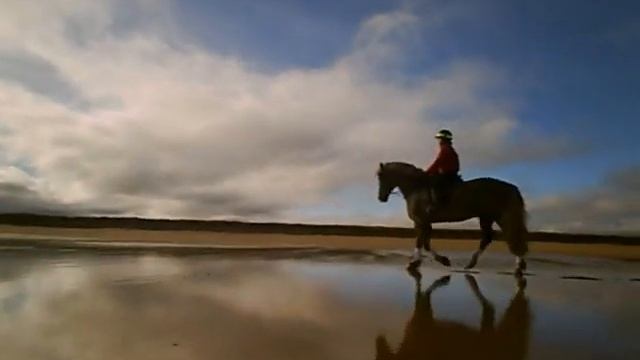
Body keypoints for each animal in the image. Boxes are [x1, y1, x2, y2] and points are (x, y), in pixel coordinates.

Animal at [376, 162, 528, 274]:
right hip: (486, 217)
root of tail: (511, 187)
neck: (416, 188)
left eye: (381, 176)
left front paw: (415, 263)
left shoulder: (421, 221)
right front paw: (439, 260)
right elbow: (425, 243)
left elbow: (421, 242)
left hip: (498, 216)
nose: (381, 198)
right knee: (491, 238)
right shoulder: (424, 223)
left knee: (510, 236)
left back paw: (517, 266)